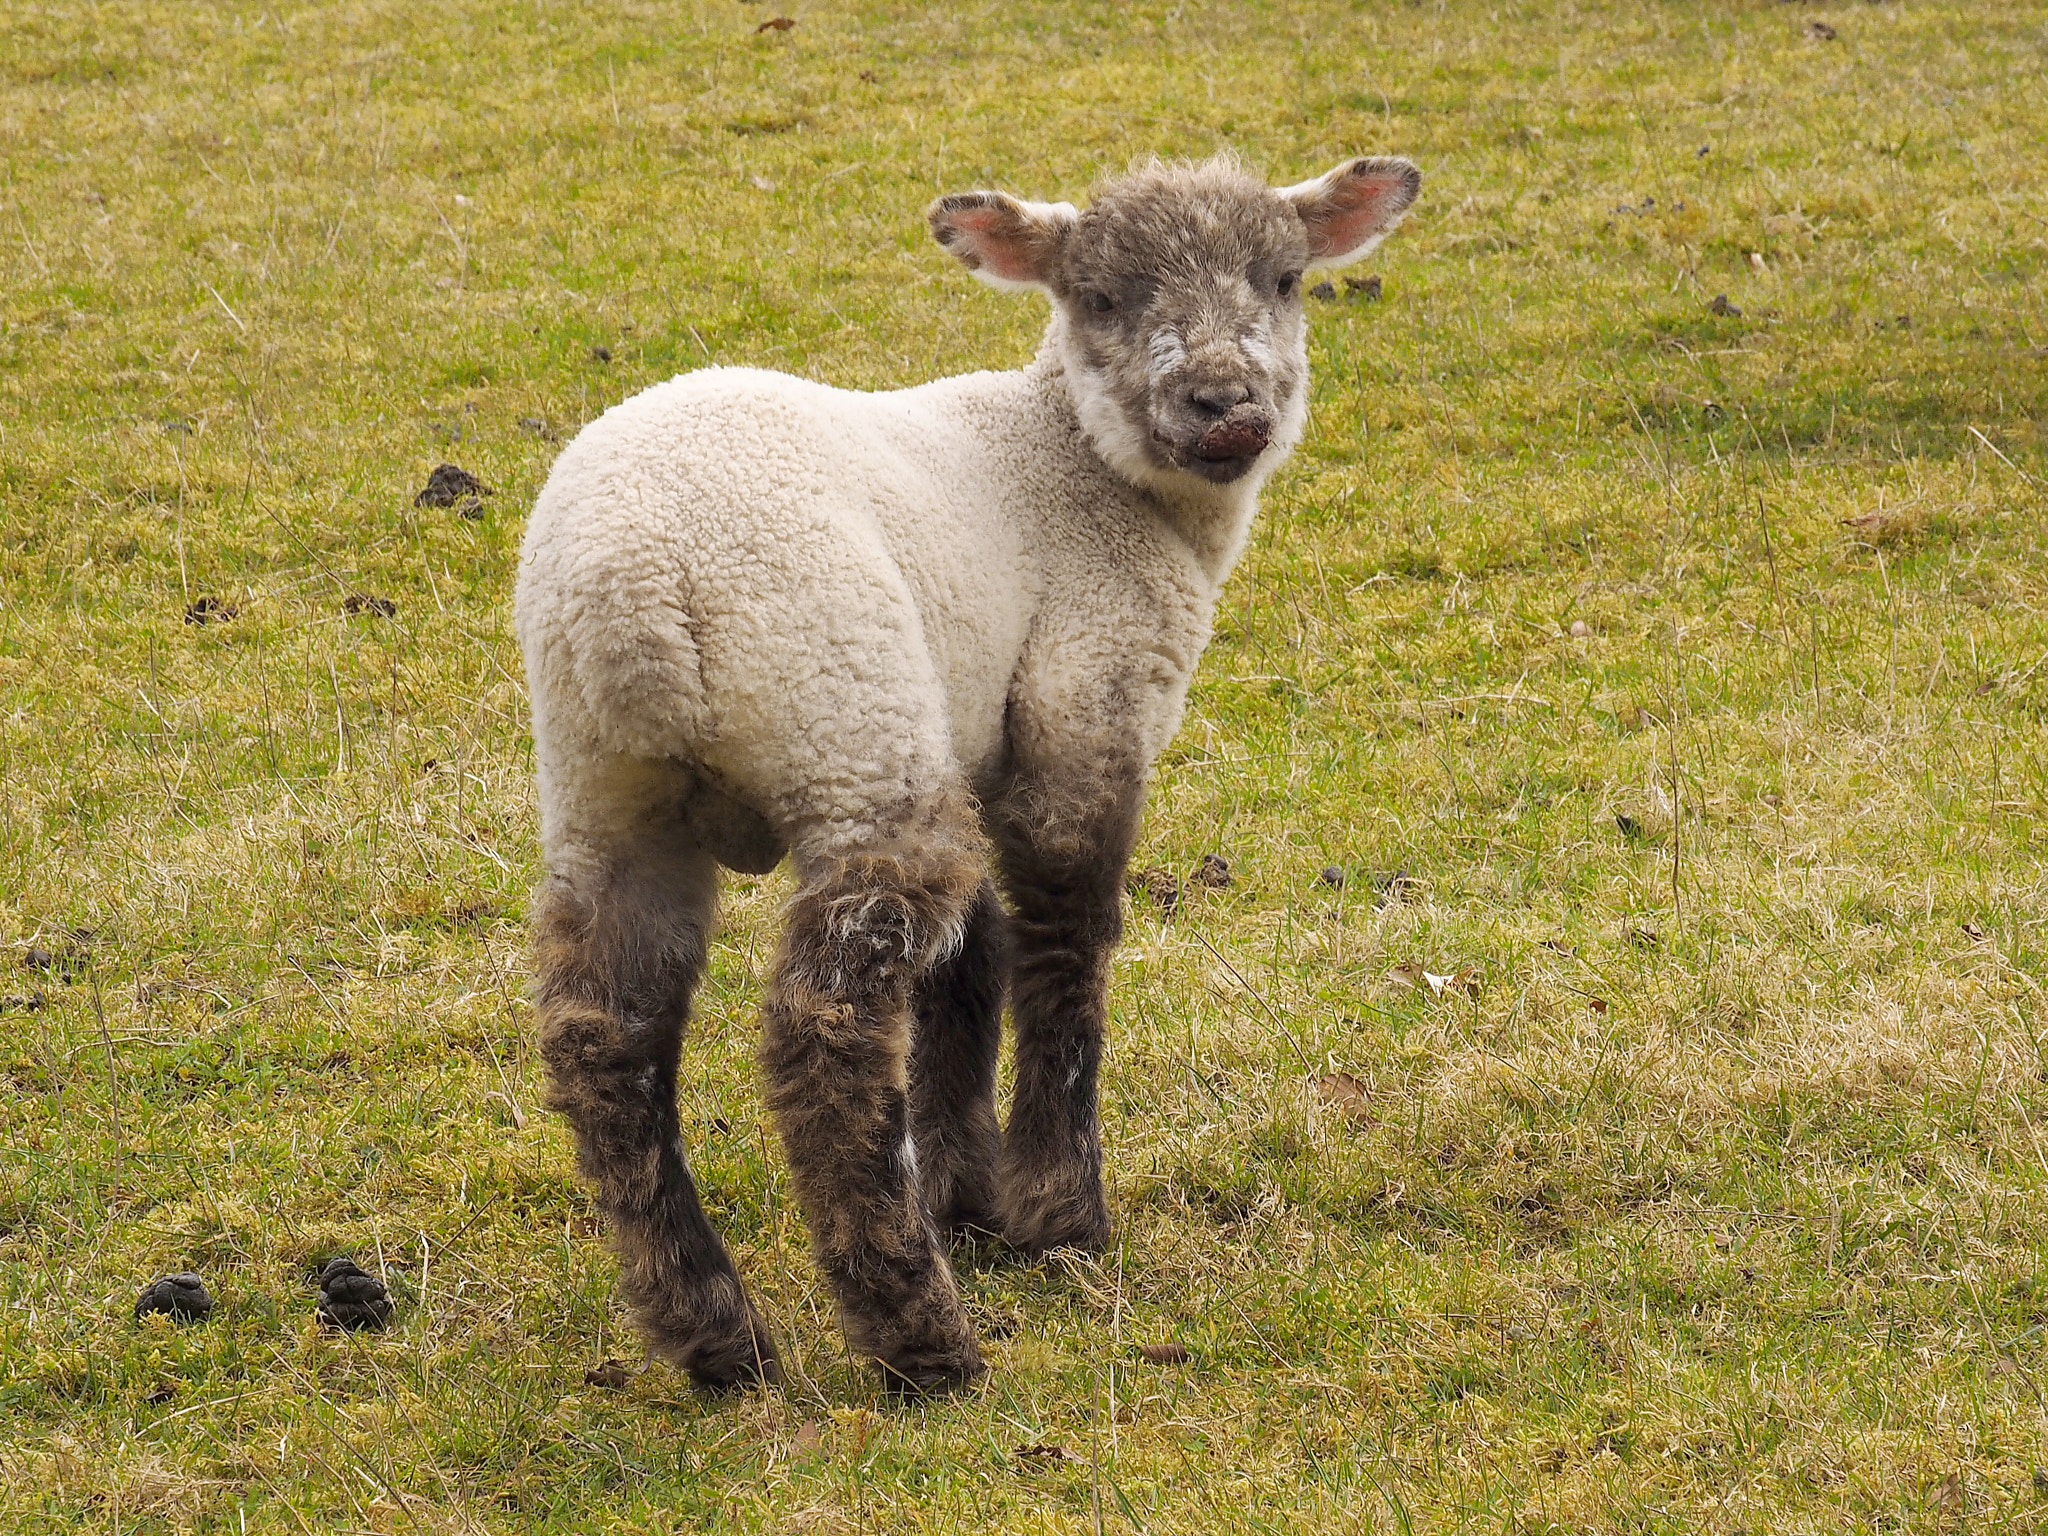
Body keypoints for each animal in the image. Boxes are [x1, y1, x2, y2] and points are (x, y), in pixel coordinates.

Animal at [514, 151, 1421, 1395]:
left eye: (1283, 279)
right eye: (1100, 296)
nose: (1225, 404)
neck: (1068, 456)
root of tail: (633, 582)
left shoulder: (974, 725)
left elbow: (971, 959)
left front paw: (966, 1190)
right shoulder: (1086, 699)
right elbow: (1063, 941)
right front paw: (1058, 1213)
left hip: (609, 787)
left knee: (604, 1036)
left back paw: (717, 1338)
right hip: (848, 720)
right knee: (826, 1027)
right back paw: (918, 1335)